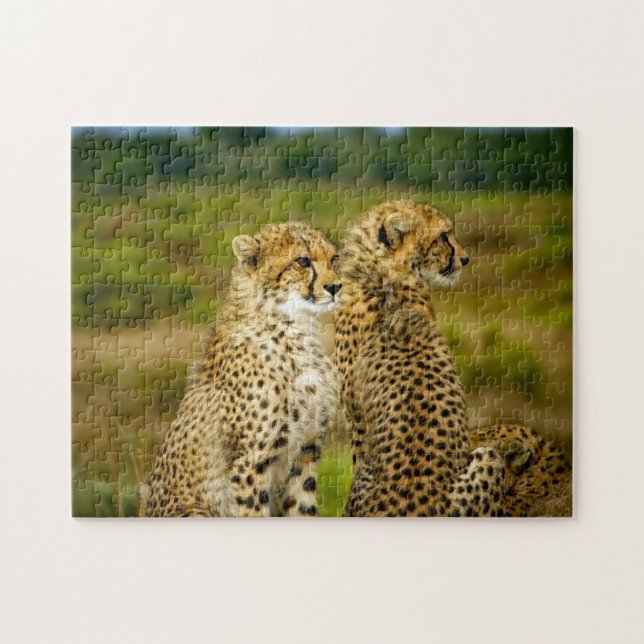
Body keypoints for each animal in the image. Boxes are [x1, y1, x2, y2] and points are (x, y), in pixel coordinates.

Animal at [143, 221, 342, 517]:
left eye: (333, 258)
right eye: (303, 261)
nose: (336, 287)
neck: (294, 329)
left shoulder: (306, 452)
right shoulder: (250, 464)